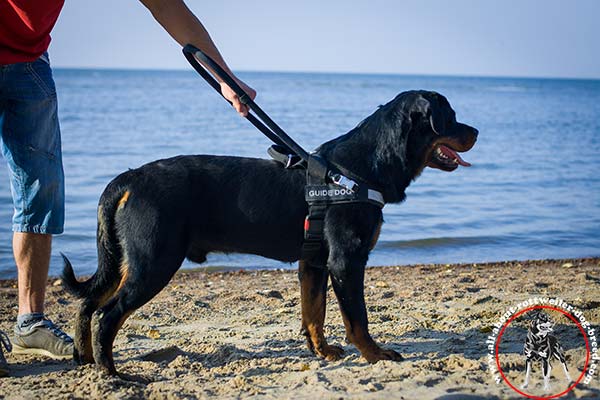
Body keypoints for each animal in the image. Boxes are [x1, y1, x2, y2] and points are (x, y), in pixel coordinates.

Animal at [62, 90, 478, 376]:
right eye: (451, 118)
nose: (475, 130)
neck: (360, 170)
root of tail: (129, 178)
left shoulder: (314, 263)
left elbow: (314, 314)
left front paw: (322, 352)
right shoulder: (346, 261)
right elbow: (356, 318)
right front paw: (376, 355)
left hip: (126, 261)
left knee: (88, 304)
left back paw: (85, 361)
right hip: (153, 262)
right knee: (107, 315)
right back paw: (112, 373)